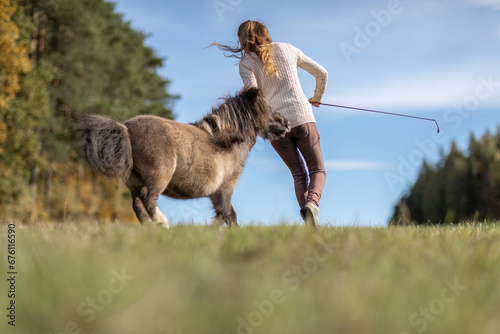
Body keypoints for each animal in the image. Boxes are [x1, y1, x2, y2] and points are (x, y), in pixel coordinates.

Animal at [76, 86, 292, 228]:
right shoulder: (225, 189)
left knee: (137, 205)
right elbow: (229, 216)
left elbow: (221, 217)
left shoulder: (216, 195)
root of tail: (126, 128)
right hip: (158, 177)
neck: (226, 141)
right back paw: (162, 223)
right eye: (267, 107)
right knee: (148, 198)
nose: (287, 123)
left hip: (134, 182)